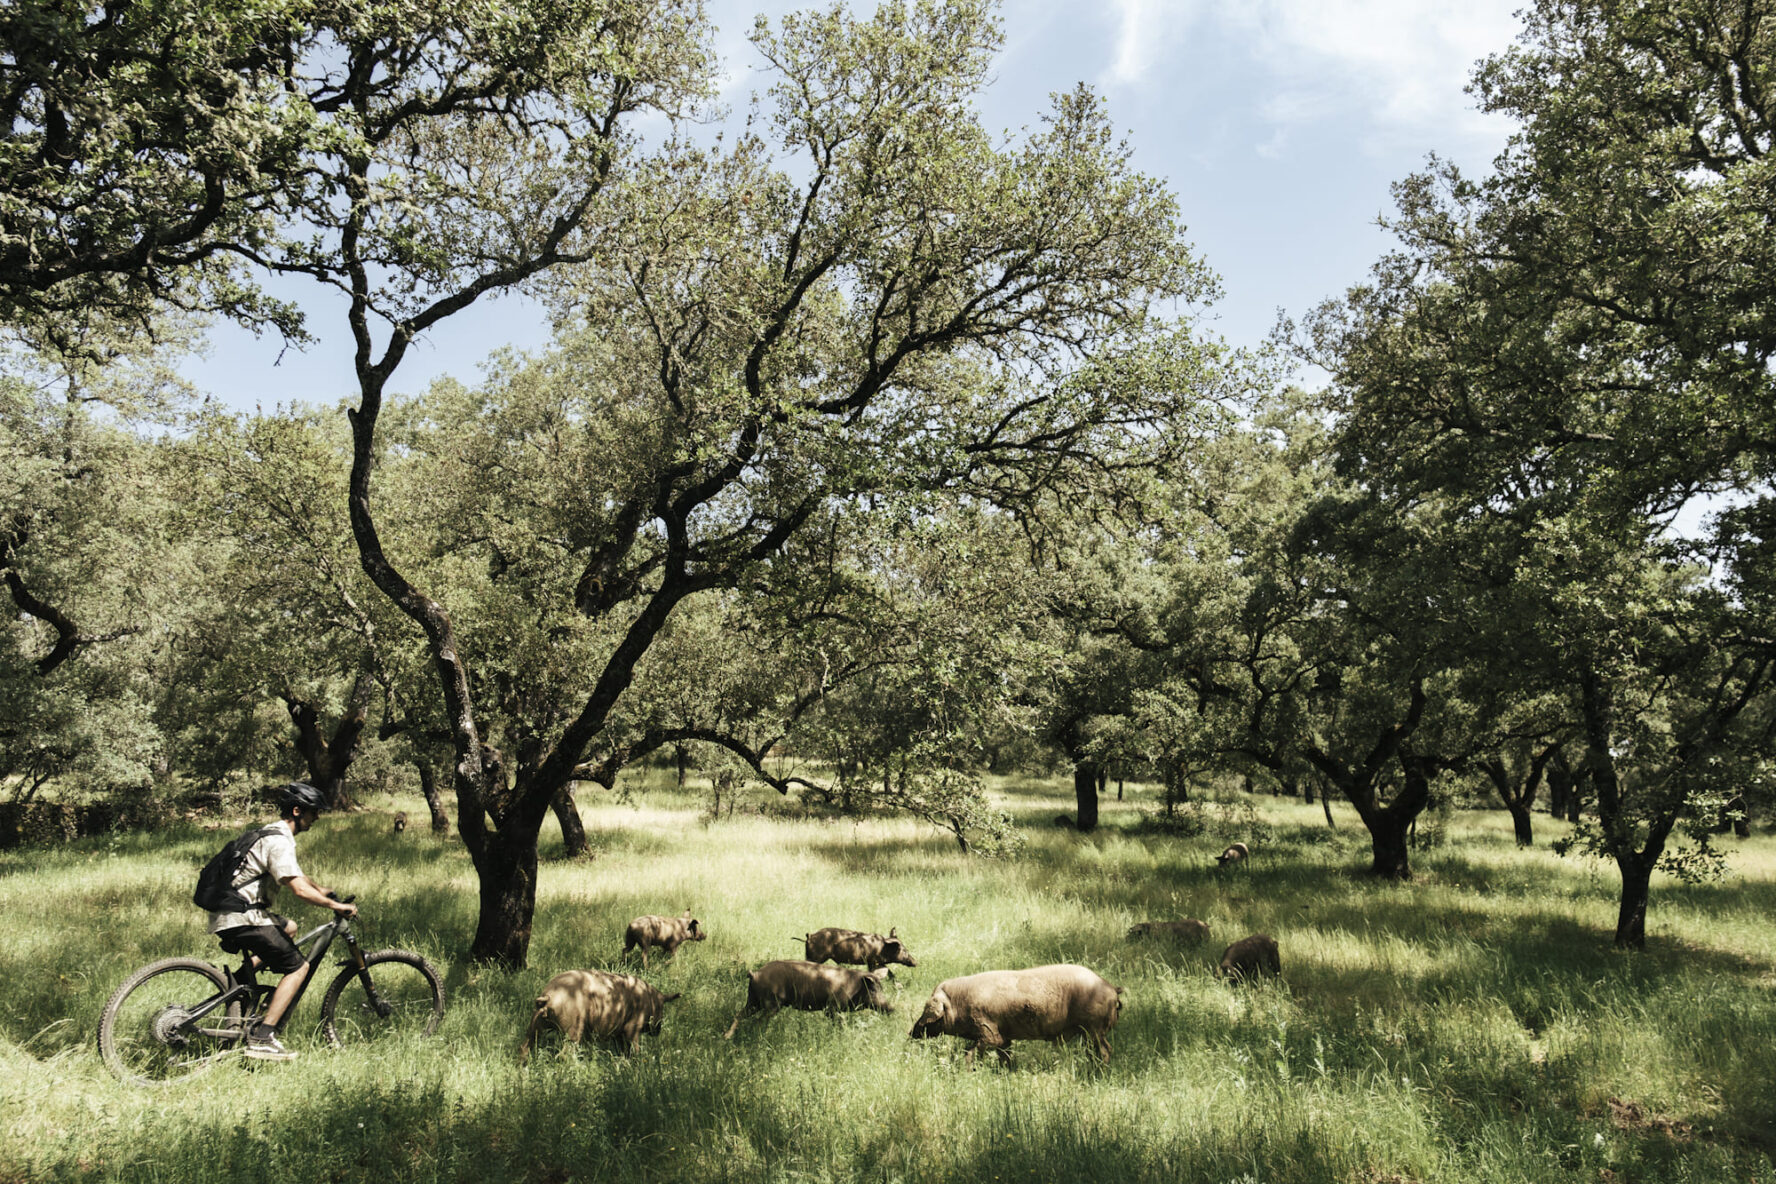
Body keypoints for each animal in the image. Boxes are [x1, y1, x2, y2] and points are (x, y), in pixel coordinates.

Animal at [518, 969, 681, 1061]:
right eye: (662, 1008)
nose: (658, 1031)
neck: (650, 998)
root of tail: (549, 995)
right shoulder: (632, 1028)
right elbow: (634, 1050)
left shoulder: (618, 1033)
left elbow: (623, 1052)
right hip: (573, 1028)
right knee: (565, 1053)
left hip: (535, 1022)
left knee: (525, 1047)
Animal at [723, 959, 893, 1038]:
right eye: (873, 989)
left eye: (882, 988)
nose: (891, 1008)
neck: (853, 986)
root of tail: (755, 974)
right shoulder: (832, 1006)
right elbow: (841, 1023)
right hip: (771, 1003)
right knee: (757, 1021)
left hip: (753, 1001)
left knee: (739, 1014)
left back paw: (727, 1037)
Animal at [909, 964, 1123, 1067]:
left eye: (925, 1010)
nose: (911, 1033)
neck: (959, 1005)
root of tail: (1112, 988)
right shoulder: (1005, 1038)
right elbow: (1005, 1056)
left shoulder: (989, 1030)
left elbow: (972, 1051)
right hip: (1088, 1032)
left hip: (1094, 1028)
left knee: (1106, 1049)